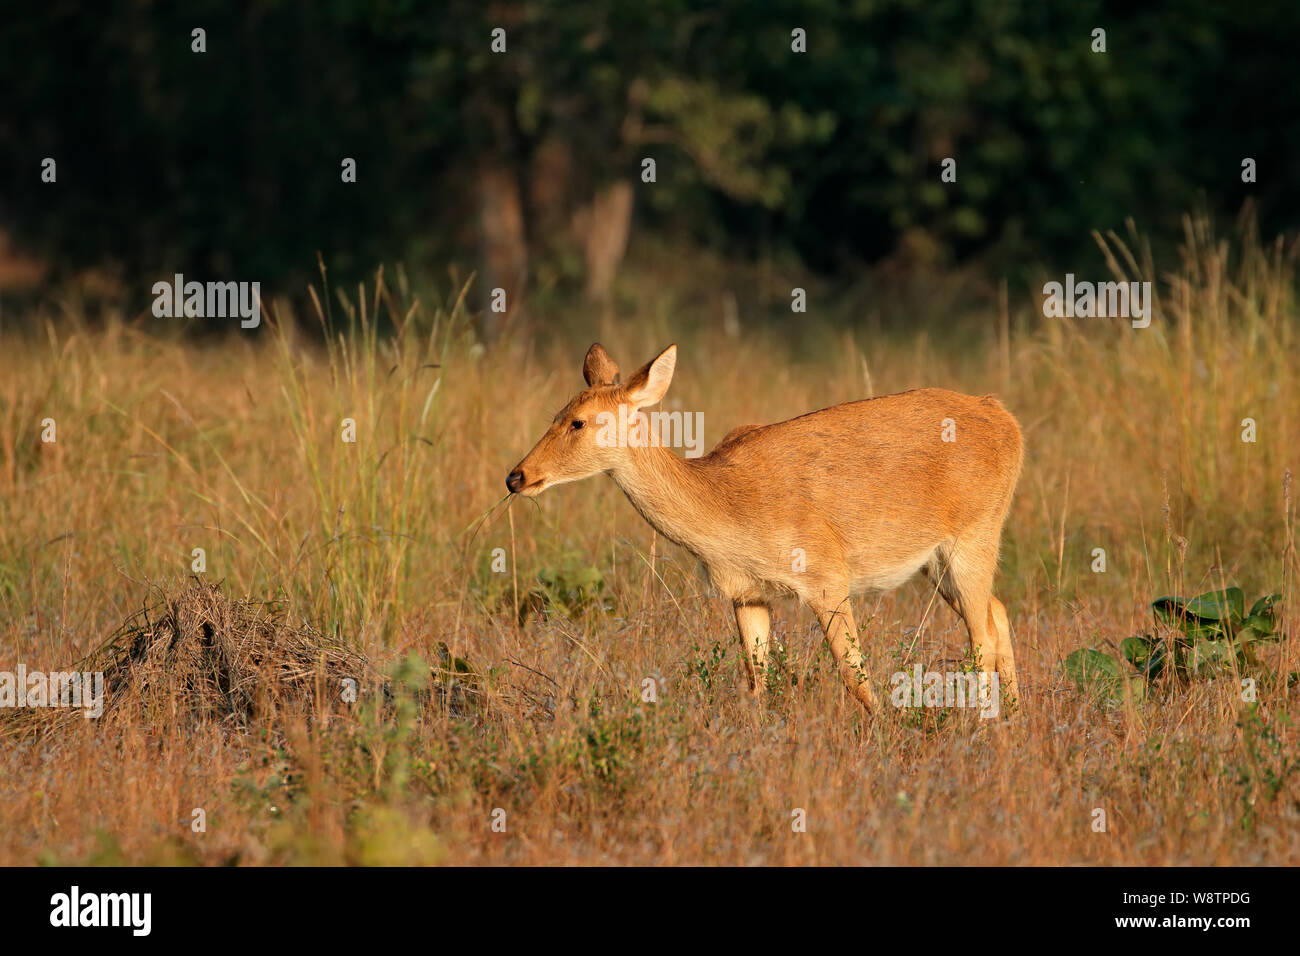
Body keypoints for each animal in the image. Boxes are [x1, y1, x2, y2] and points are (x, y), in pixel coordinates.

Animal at [506, 348, 1024, 712]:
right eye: (556, 414)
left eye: (578, 422)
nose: (517, 476)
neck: (729, 514)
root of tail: (1008, 418)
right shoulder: (747, 594)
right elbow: (757, 682)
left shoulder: (826, 575)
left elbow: (853, 673)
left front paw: (886, 733)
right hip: (936, 561)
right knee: (998, 613)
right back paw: (1014, 719)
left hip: (976, 533)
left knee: (981, 637)